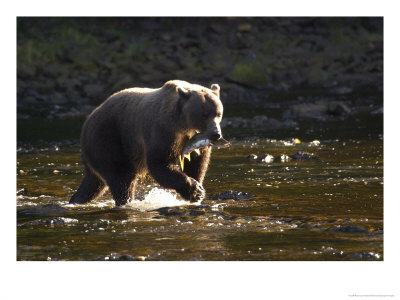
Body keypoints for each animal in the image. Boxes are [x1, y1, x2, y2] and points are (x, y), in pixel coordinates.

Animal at [70, 79, 223, 206]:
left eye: (218, 113)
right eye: (204, 114)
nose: (216, 134)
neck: (183, 125)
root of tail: (86, 122)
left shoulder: (193, 141)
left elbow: (197, 162)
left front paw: (198, 188)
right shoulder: (162, 131)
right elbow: (159, 164)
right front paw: (194, 190)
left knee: (94, 183)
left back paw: (77, 199)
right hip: (108, 138)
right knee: (121, 178)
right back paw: (125, 201)